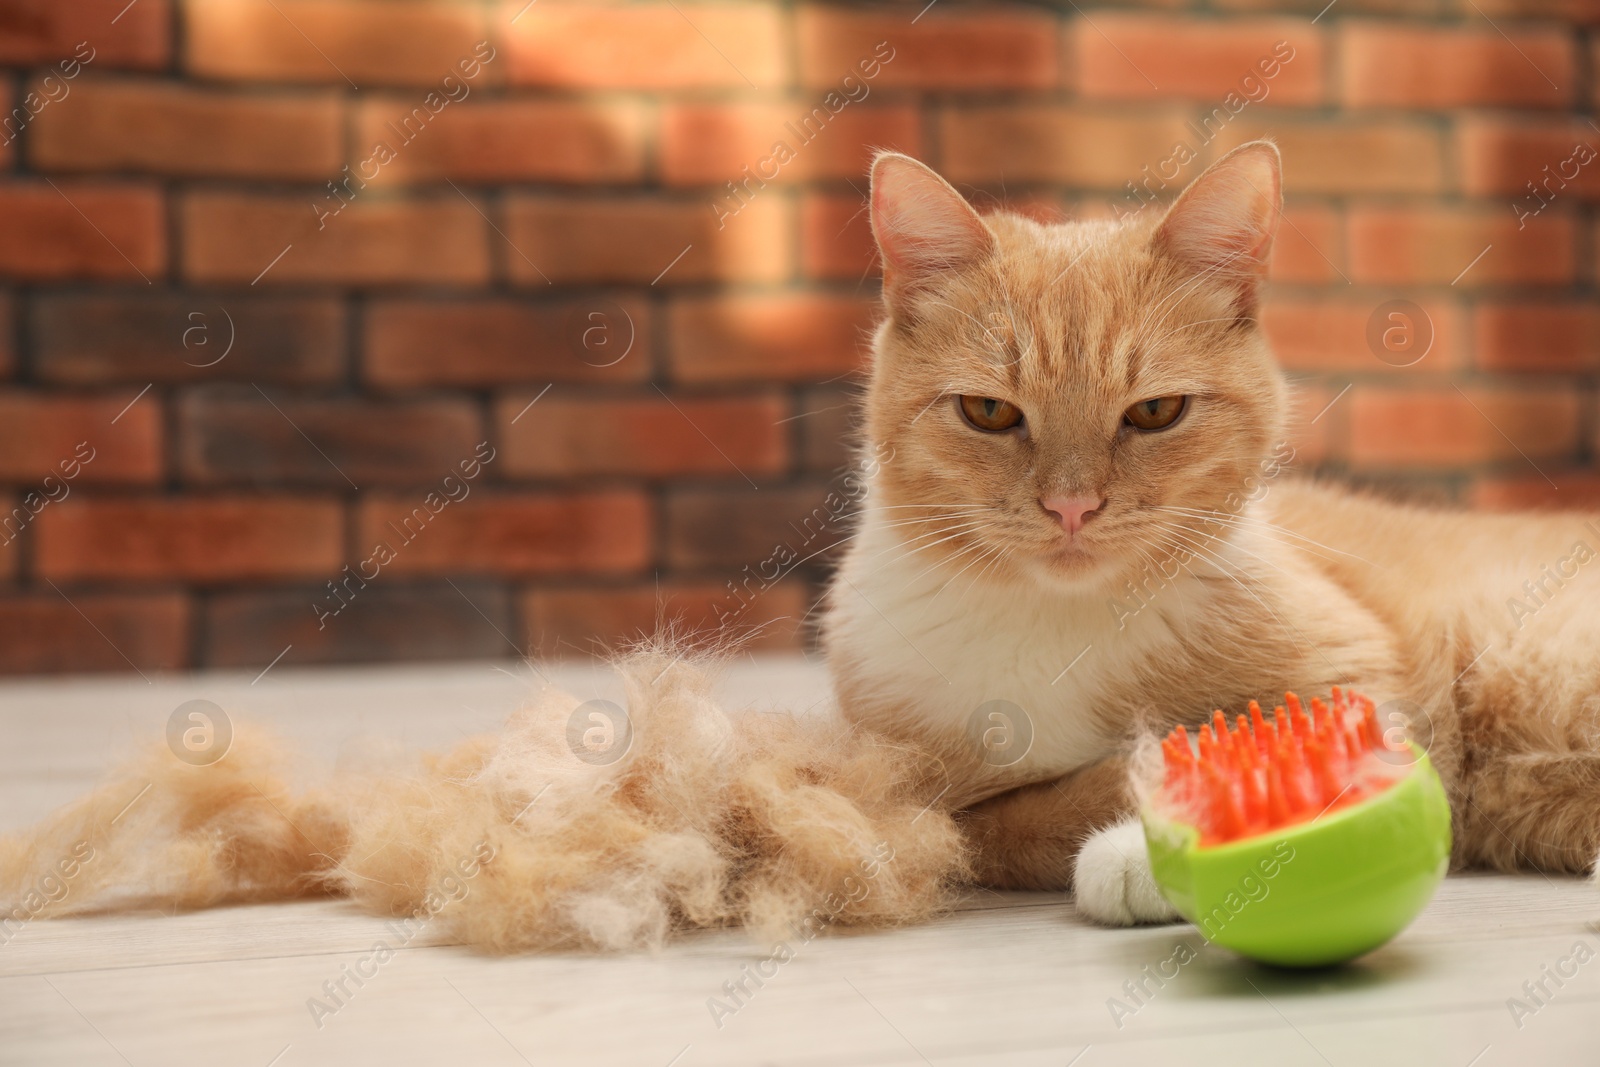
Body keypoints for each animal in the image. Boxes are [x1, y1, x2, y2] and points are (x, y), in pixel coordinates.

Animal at [825, 143, 1600, 927]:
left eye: (1156, 412)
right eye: (987, 412)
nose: (1072, 506)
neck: (1063, 626)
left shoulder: (1367, 674)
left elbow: (1284, 750)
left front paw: (1157, 840)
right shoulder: (917, 786)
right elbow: (1007, 821)